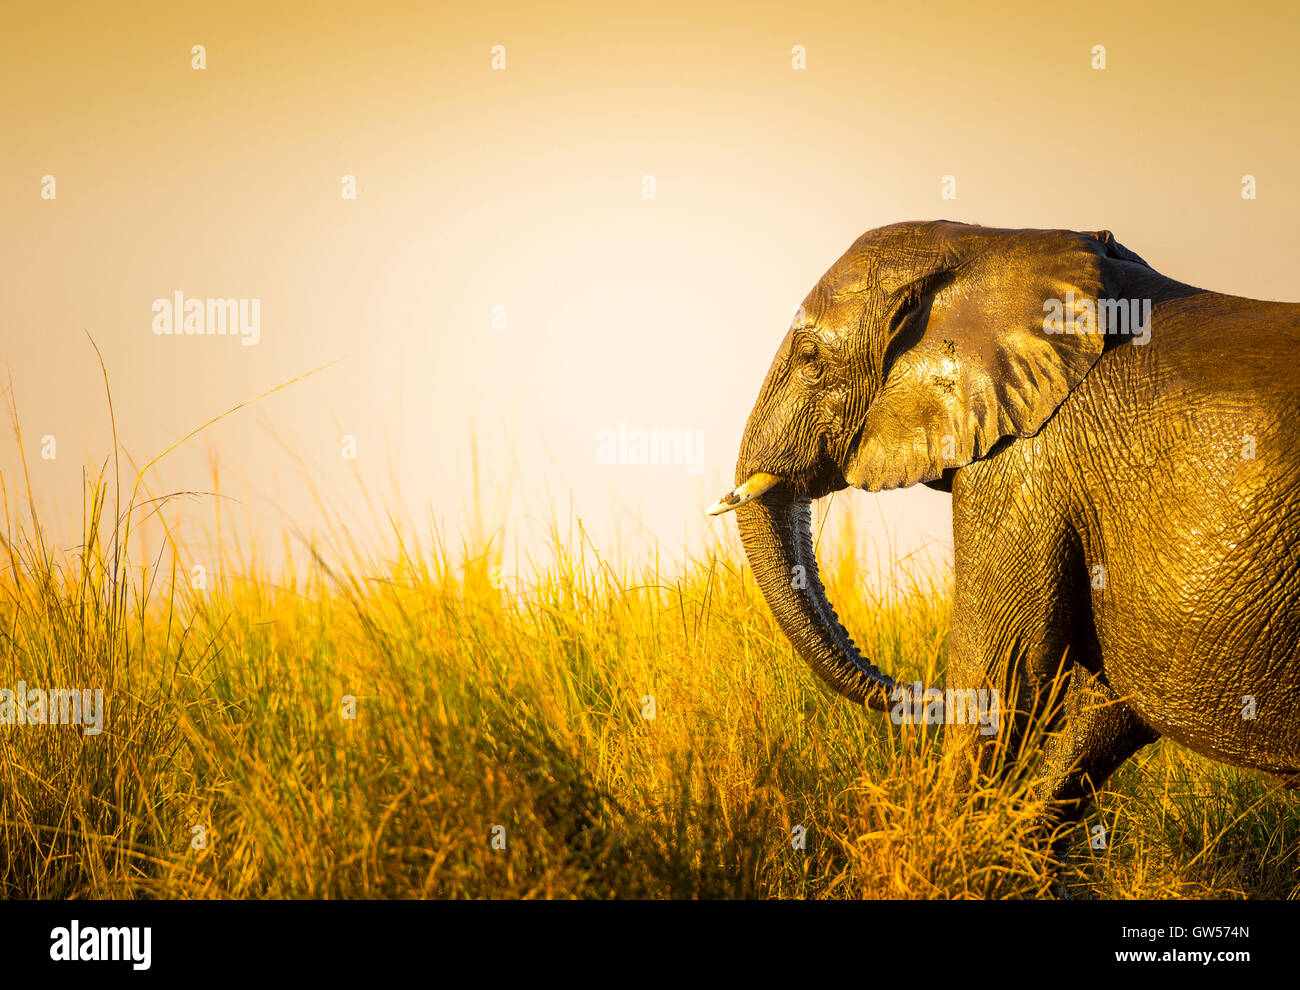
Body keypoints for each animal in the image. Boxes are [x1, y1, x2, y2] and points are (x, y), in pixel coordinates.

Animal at [707, 219, 1300, 847]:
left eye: (810, 357)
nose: (914, 690)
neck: (995, 242)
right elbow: (1103, 702)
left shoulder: (1027, 462)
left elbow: (1004, 667)